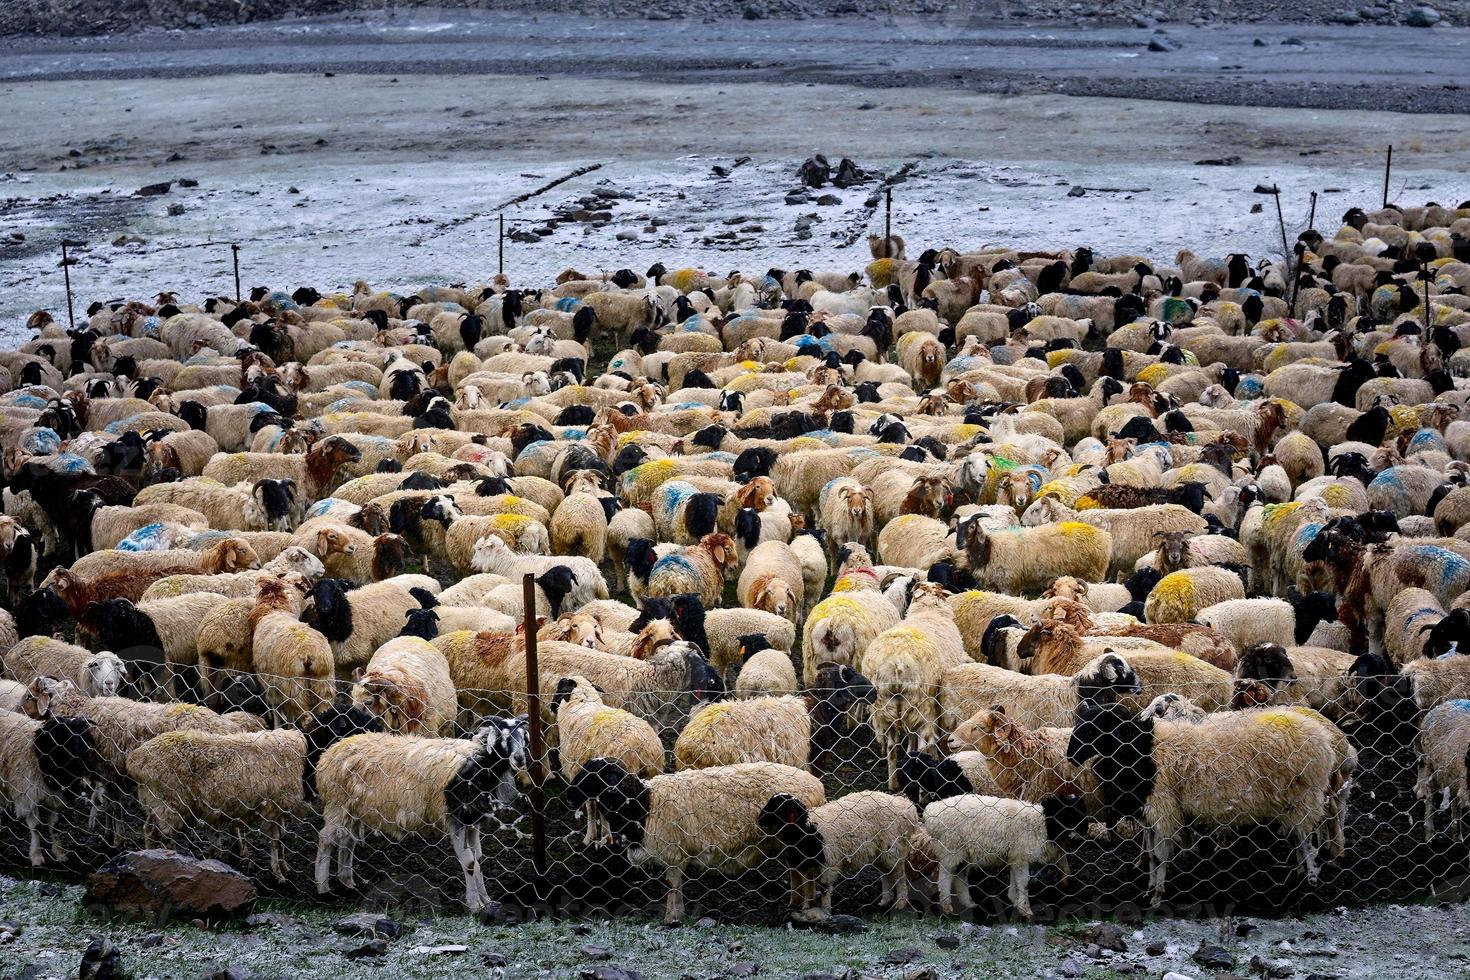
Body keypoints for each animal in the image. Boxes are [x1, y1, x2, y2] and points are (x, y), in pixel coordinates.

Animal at [313, 717, 532, 916]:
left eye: (524, 737)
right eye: (502, 737)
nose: (520, 759)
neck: (479, 763)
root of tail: (330, 753)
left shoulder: (472, 820)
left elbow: (478, 859)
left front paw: (486, 900)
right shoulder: (455, 820)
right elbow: (469, 863)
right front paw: (475, 905)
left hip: (354, 809)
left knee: (347, 840)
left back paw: (347, 881)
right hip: (337, 804)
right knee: (326, 839)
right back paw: (323, 888)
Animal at [567, 764, 829, 922]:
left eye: (594, 774)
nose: (570, 797)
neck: (644, 803)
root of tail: (817, 785)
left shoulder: (672, 851)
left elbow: (672, 884)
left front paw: (671, 918)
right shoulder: (677, 852)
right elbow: (677, 884)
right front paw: (679, 913)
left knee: (806, 872)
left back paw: (805, 906)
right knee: (796, 870)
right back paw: (794, 902)